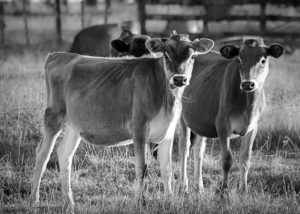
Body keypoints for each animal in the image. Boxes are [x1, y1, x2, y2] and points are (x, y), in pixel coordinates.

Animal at [29, 32, 214, 208]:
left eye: (192, 56)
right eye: (166, 55)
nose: (179, 79)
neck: (166, 97)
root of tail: (59, 55)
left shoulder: (167, 132)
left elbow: (167, 169)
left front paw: (169, 201)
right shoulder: (139, 129)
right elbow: (142, 168)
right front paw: (140, 202)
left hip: (74, 124)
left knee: (64, 153)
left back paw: (69, 201)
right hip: (54, 115)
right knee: (43, 154)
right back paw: (34, 199)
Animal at [179, 36, 284, 194]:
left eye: (263, 60)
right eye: (239, 59)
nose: (248, 84)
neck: (248, 105)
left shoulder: (253, 127)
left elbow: (245, 160)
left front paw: (244, 190)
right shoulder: (223, 126)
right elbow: (227, 160)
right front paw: (223, 190)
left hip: (200, 120)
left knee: (198, 151)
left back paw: (199, 187)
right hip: (182, 118)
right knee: (184, 149)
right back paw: (184, 186)